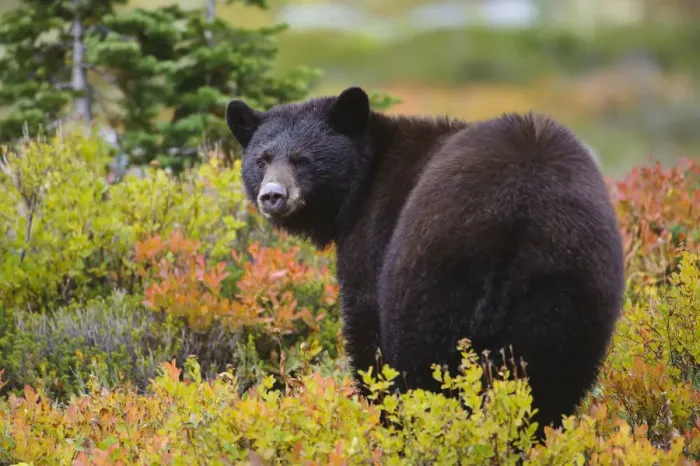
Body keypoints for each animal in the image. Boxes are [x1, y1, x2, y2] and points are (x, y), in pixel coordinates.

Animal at [225, 86, 625, 438]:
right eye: (262, 159)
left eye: (302, 159)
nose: (273, 195)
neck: (364, 179)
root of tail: (518, 215)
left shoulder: (374, 231)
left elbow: (366, 329)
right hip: (568, 290)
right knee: (552, 381)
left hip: (433, 276)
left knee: (424, 367)